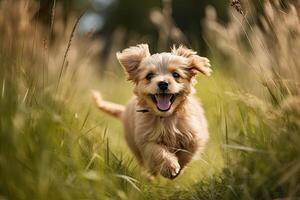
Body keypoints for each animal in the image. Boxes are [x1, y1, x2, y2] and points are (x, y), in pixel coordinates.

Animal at [92, 44, 212, 180]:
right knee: (147, 164)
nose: (163, 83)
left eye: (176, 75)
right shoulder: (146, 139)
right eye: (149, 76)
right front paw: (170, 166)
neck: (166, 118)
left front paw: (178, 167)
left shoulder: (195, 136)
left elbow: (187, 153)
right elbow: (157, 151)